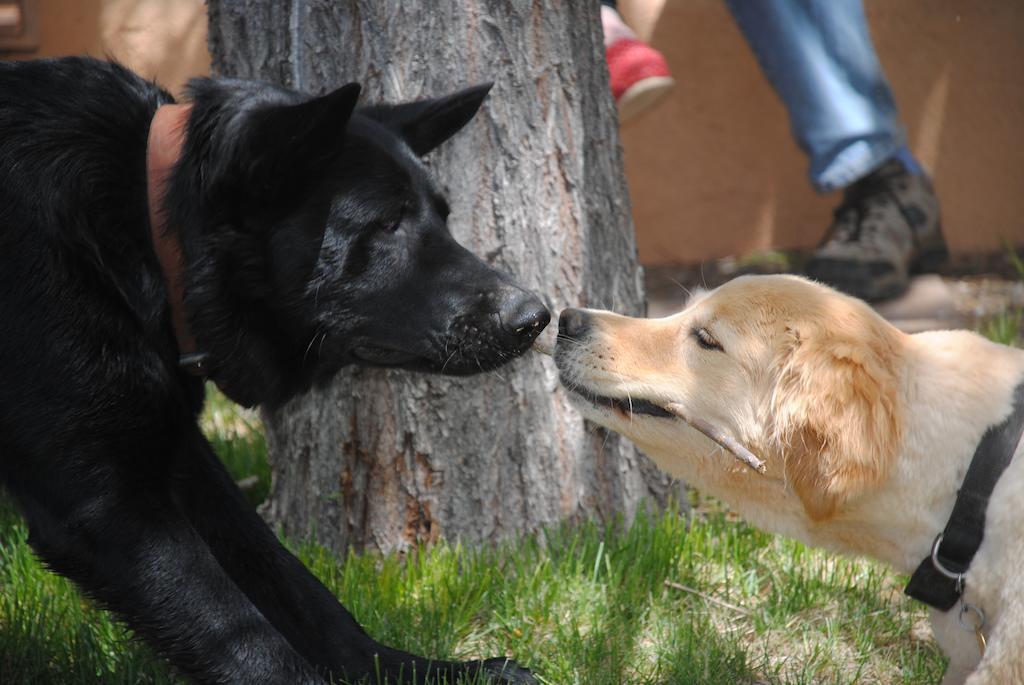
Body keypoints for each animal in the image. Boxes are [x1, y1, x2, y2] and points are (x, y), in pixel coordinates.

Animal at [0, 57, 548, 683]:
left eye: (444, 217)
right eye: (387, 223)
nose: (536, 317)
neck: (145, 223)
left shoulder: (178, 455)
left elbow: (293, 583)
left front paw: (409, 668)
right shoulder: (105, 500)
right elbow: (236, 629)